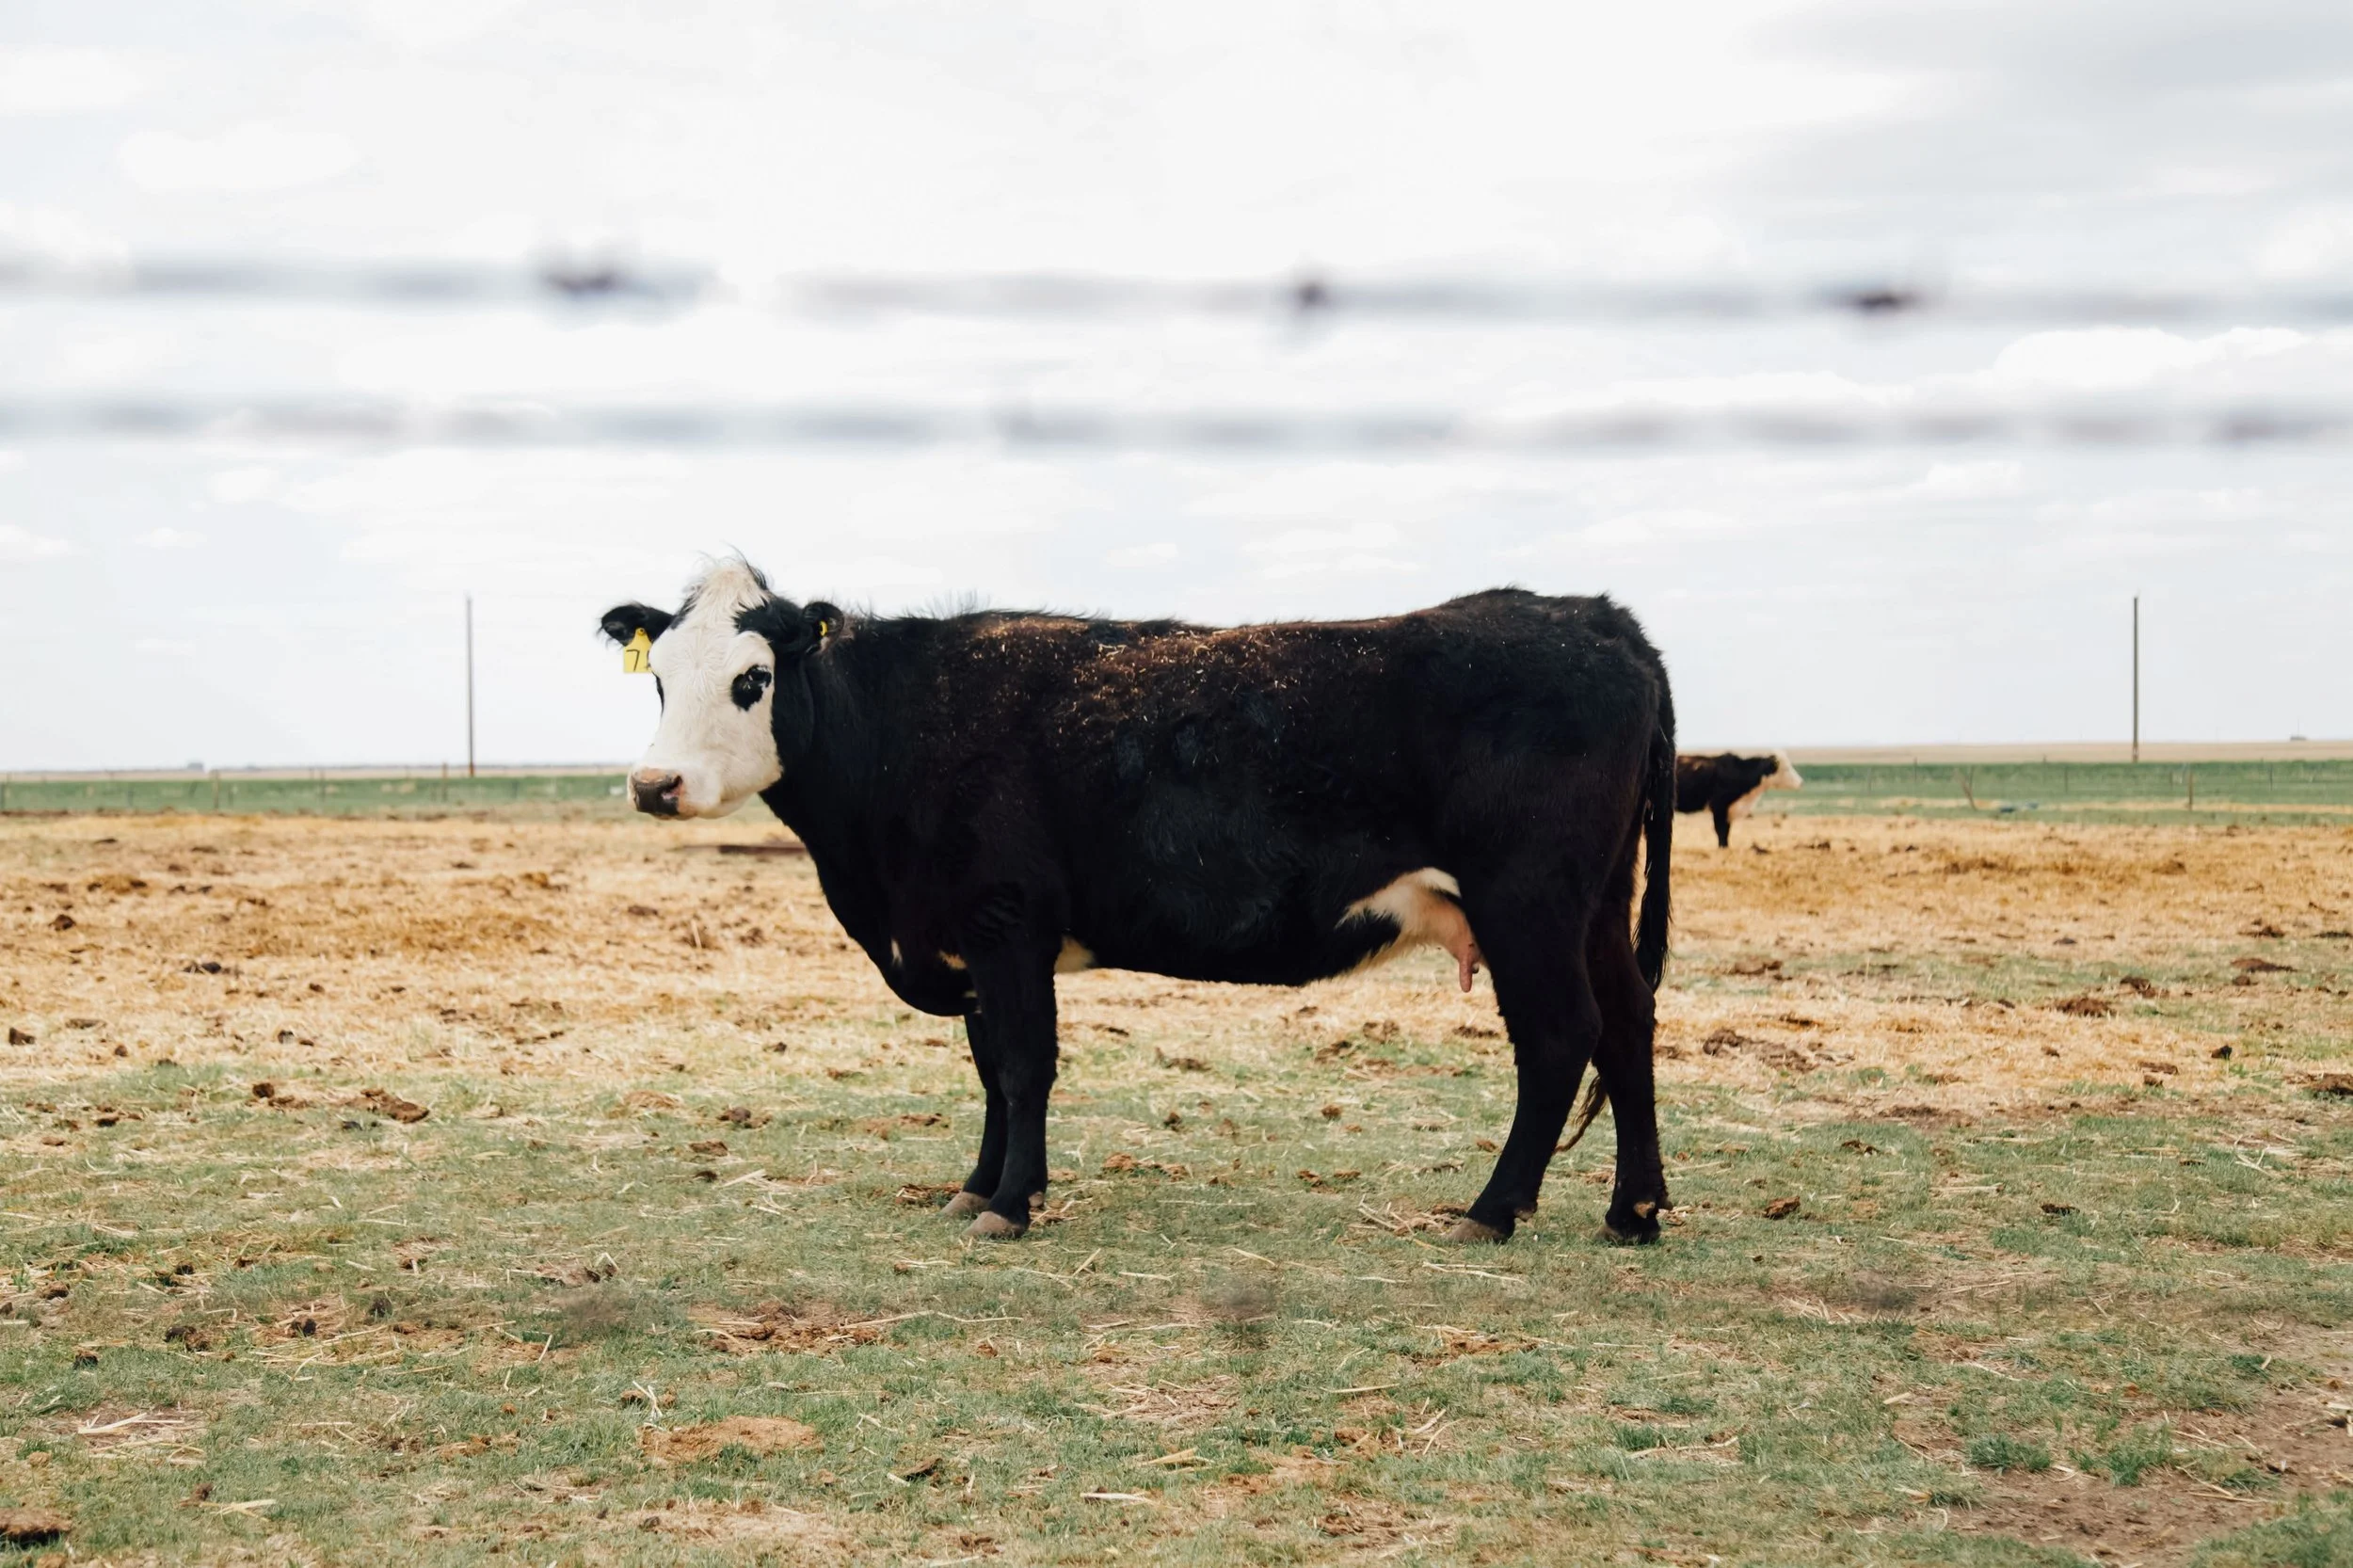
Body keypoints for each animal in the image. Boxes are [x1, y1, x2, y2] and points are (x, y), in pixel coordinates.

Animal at [601, 559, 1677, 1246]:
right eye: (657, 679)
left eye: (752, 679)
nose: (654, 785)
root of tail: (1595, 617)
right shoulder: (972, 942)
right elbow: (990, 1070)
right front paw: (975, 1188)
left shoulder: (1005, 926)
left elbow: (1024, 1066)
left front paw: (1011, 1205)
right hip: (1594, 906)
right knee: (1627, 1021)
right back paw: (1633, 1212)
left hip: (1528, 904)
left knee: (1559, 1037)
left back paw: (1491, 1210)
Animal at [1674, 751, 1802, 847]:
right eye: (1786, 769)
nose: (1800, 782)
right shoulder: (1719, 807)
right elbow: (1721, 830)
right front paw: (1723, 848)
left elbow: (1727, 831)